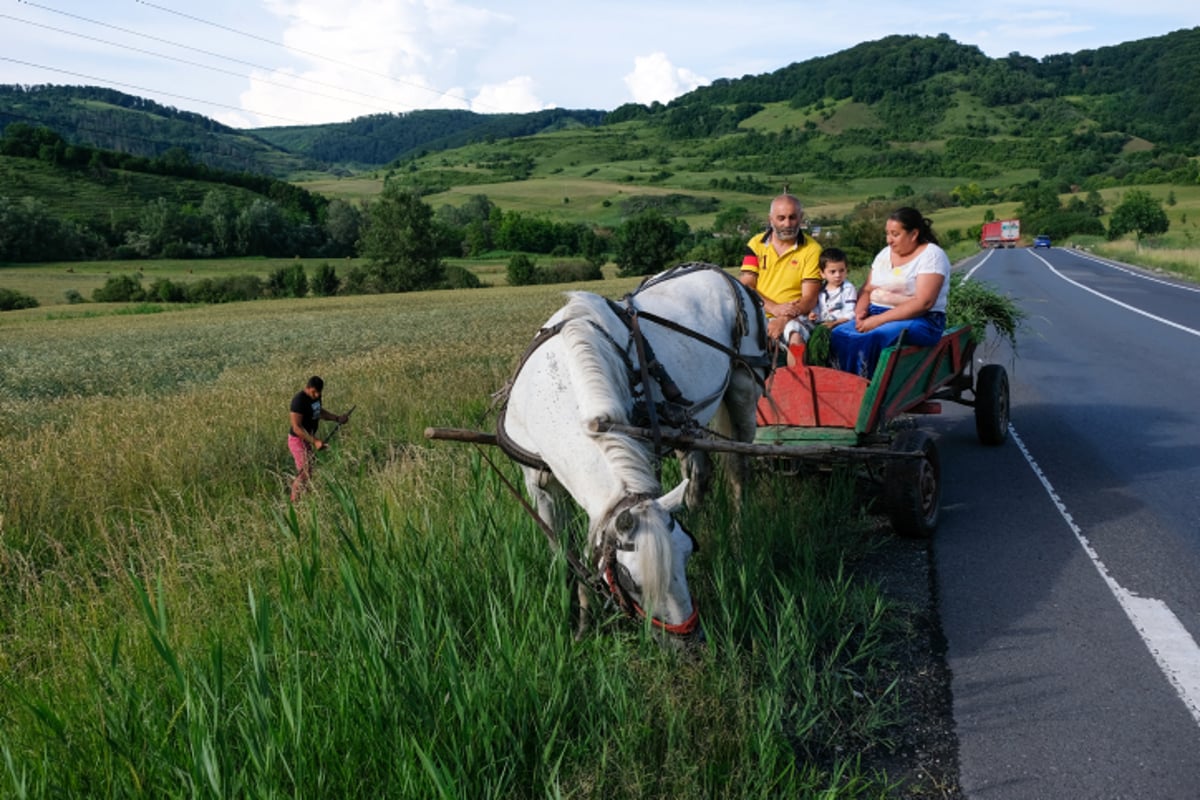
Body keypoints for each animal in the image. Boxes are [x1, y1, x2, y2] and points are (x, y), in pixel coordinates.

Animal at [496, 262, 768, 638]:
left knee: (738, 468)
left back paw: (739, 539)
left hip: (743, 389)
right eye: (630, 579)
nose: (689, 641)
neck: (552, 387)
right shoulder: (540, 486)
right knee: (697, 473)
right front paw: (580, 623)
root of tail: (717, 271)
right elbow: (564, 553)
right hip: (688, 423)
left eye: (686, 555)